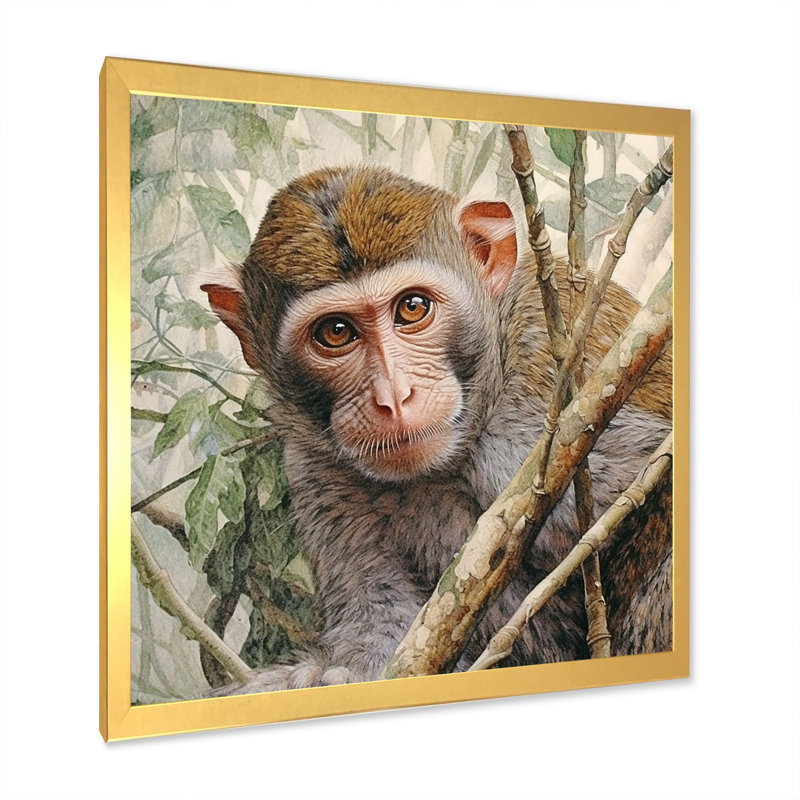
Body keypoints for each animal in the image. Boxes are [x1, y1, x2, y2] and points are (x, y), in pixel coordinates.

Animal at [201, 164, 673, 693]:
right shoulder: (316, 466)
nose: (393, 396)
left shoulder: (552, 384)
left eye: (412, 308)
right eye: (336, 332)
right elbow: (384, 627)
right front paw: (314, 677)